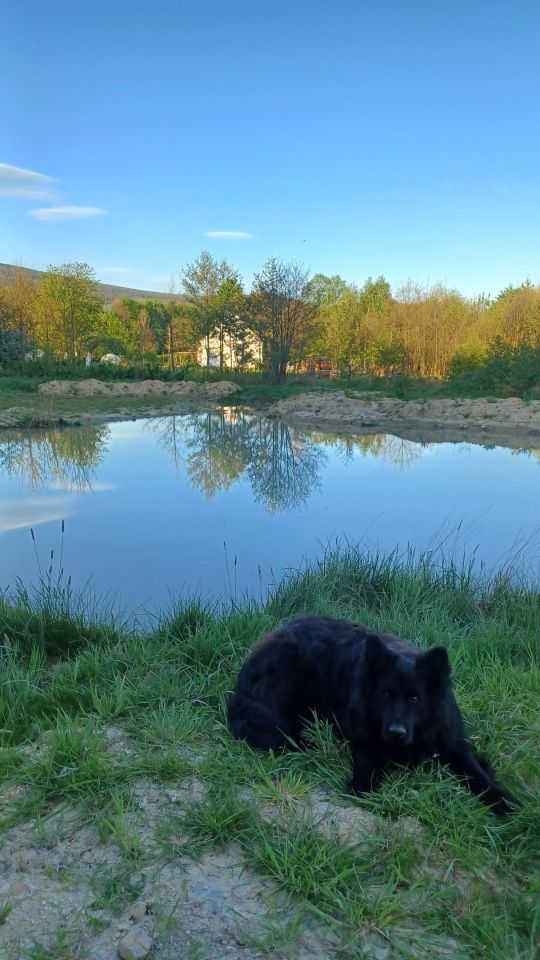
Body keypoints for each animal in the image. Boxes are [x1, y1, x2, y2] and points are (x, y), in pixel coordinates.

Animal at [227, 620, 516, 812]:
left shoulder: (453, 744)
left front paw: (504, 802)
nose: (396, 733)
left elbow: (478, 774)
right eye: (385, 694)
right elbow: (365, 763)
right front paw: (361, 787)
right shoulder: (365, 740)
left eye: (415, 699)